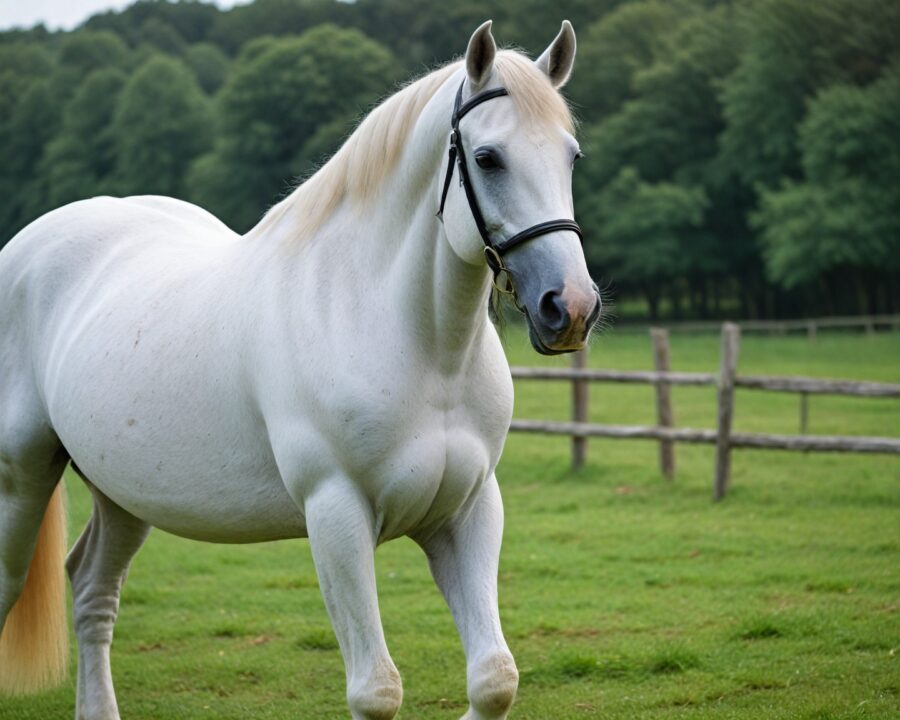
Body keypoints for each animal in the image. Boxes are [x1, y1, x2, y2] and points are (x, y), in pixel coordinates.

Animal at [0, 20, 599, 720]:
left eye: (570, 156)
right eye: (488, 158)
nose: (571, 308)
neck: (417, 347)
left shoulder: (468, 511)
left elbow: (494, 678)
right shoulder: (335, 514)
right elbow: (376, 690)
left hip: (122, 493)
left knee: (92, 590)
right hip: (21, 478)